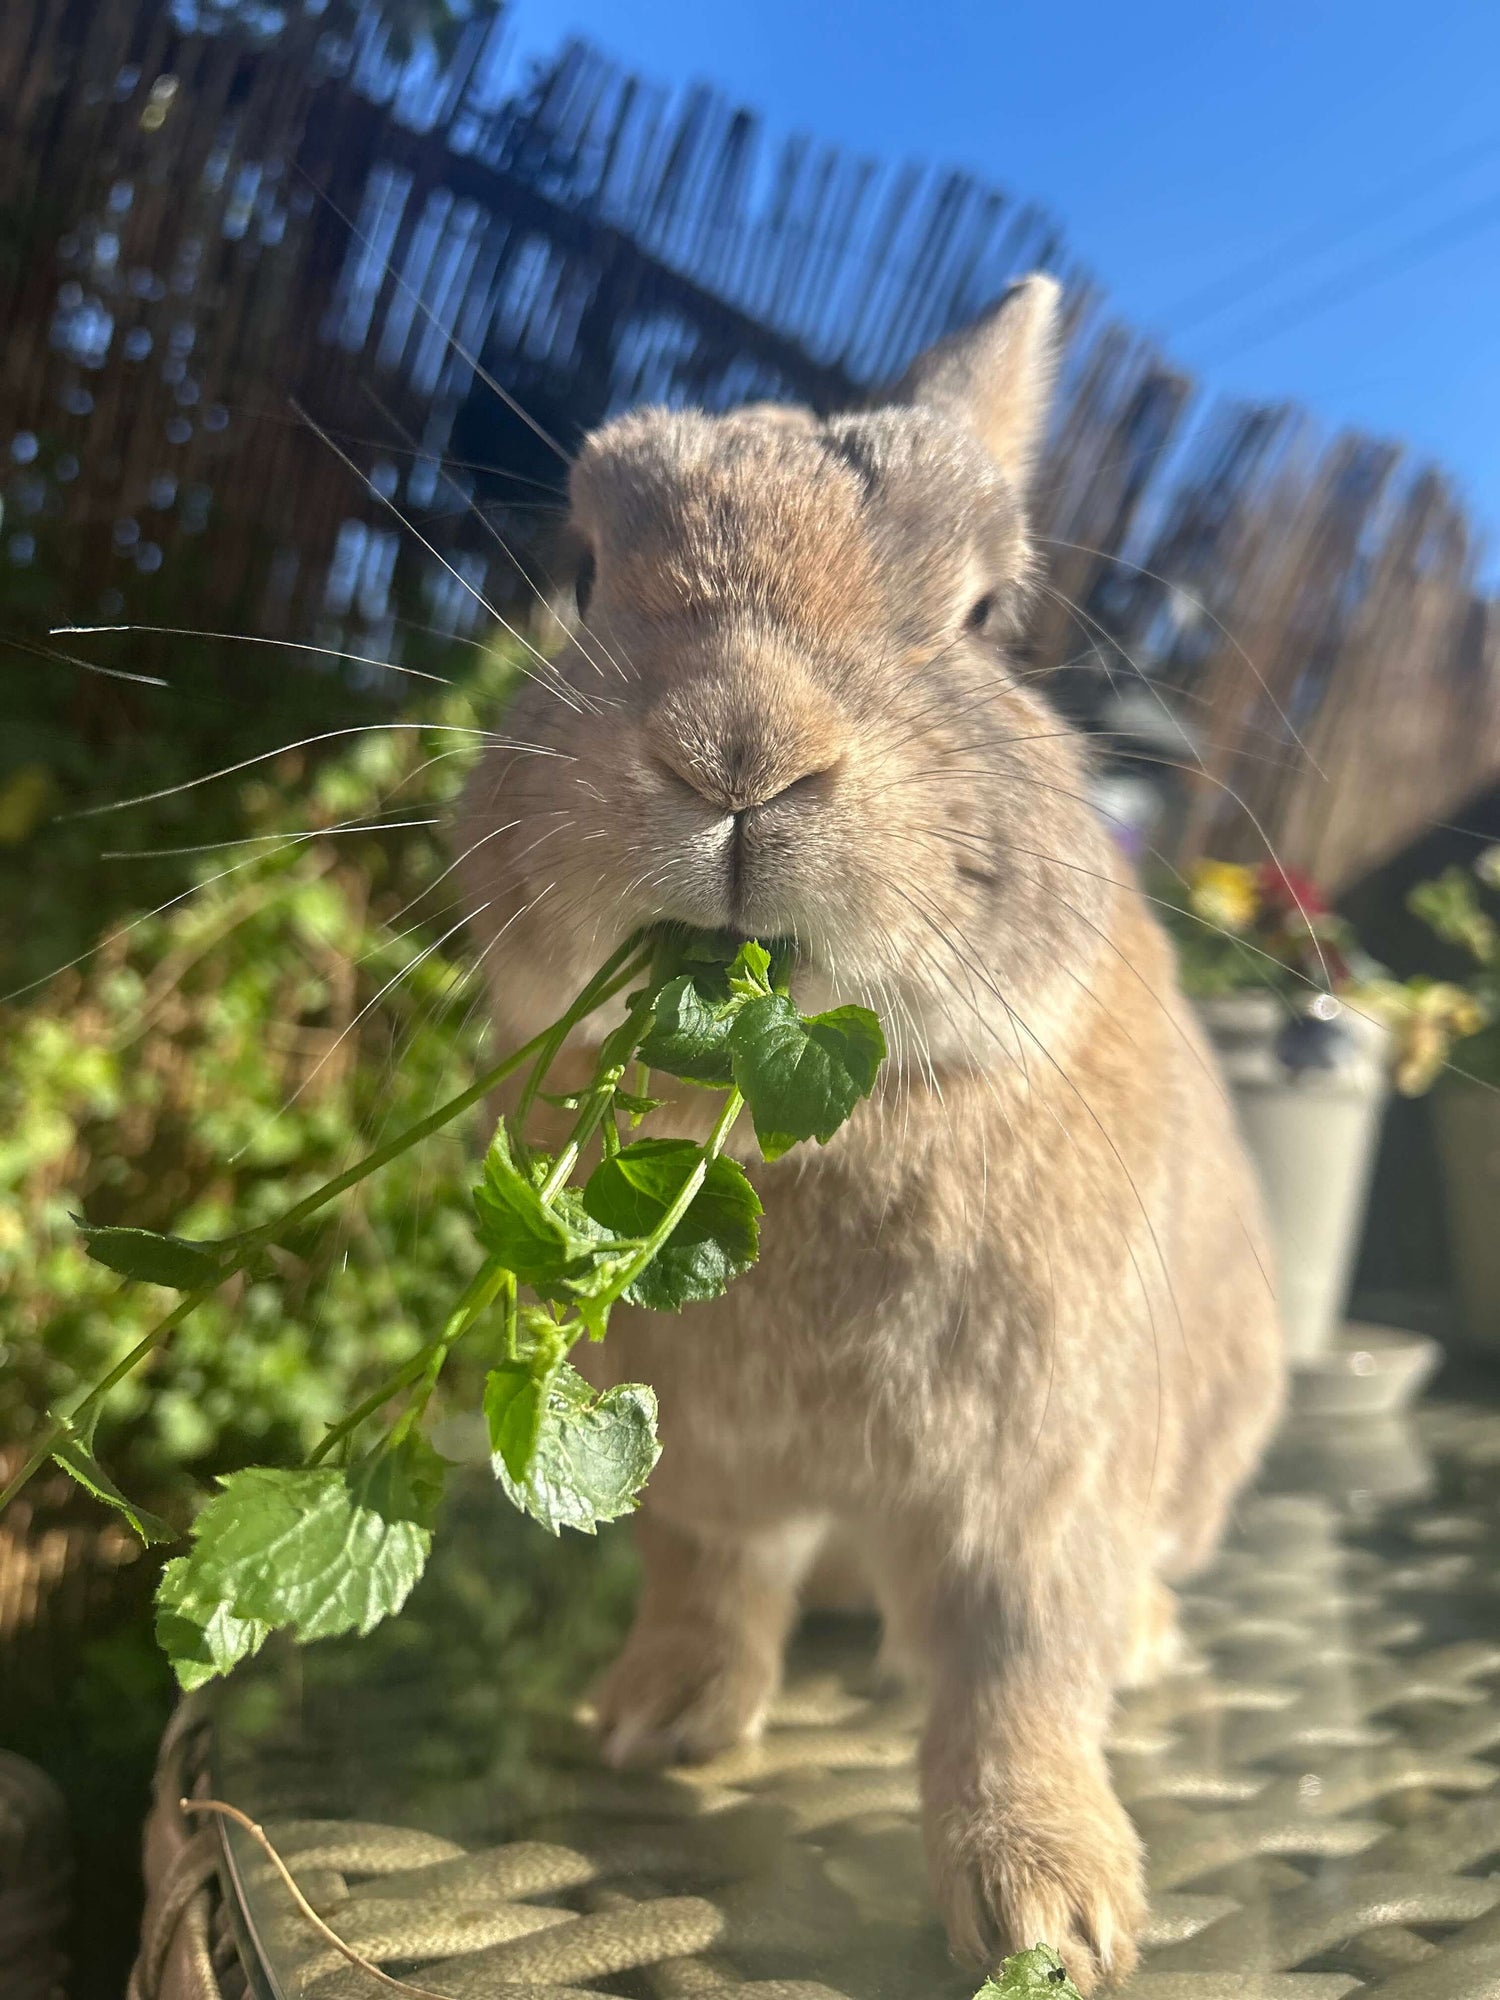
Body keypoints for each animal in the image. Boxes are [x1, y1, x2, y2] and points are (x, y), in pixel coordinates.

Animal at [456, 273, 1284, 1992]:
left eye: (985, 616)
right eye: (585, 573)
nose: (739, 750)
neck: (810, 1132)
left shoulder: (1039, 1486)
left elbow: (1019, 1674)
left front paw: (1056, 1910)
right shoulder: (706, 1474)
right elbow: (710, 1588)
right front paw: (654, 1724)